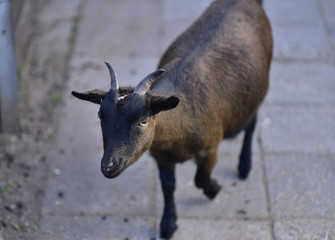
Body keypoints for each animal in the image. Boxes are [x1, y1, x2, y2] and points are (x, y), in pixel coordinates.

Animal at [71, 0, 272, 237]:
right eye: (101, 115)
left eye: (143, 120)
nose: (109, 166)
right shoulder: (161, 155)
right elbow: (168, 185)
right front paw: (168, 223)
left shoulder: (210, 148)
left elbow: (200, 179)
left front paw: (215, 189)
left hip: (259, 87)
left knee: (252, 121)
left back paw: (245, 165)